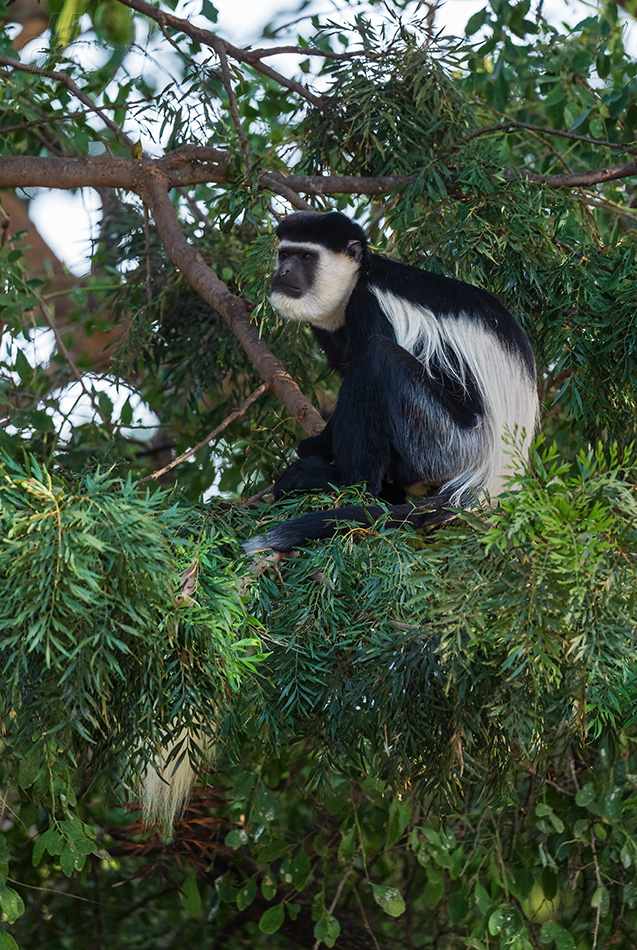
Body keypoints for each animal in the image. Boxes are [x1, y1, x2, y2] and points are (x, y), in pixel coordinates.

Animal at [243, 212, 536, 556]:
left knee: (376, 359)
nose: (283, 272)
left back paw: (350, 482)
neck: (358, 280)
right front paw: (318, 444)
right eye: (285, 254)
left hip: (443, 442)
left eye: (305, 257)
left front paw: (325, 459)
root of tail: (490, 470)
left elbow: (359, 374)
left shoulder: (370, 305)